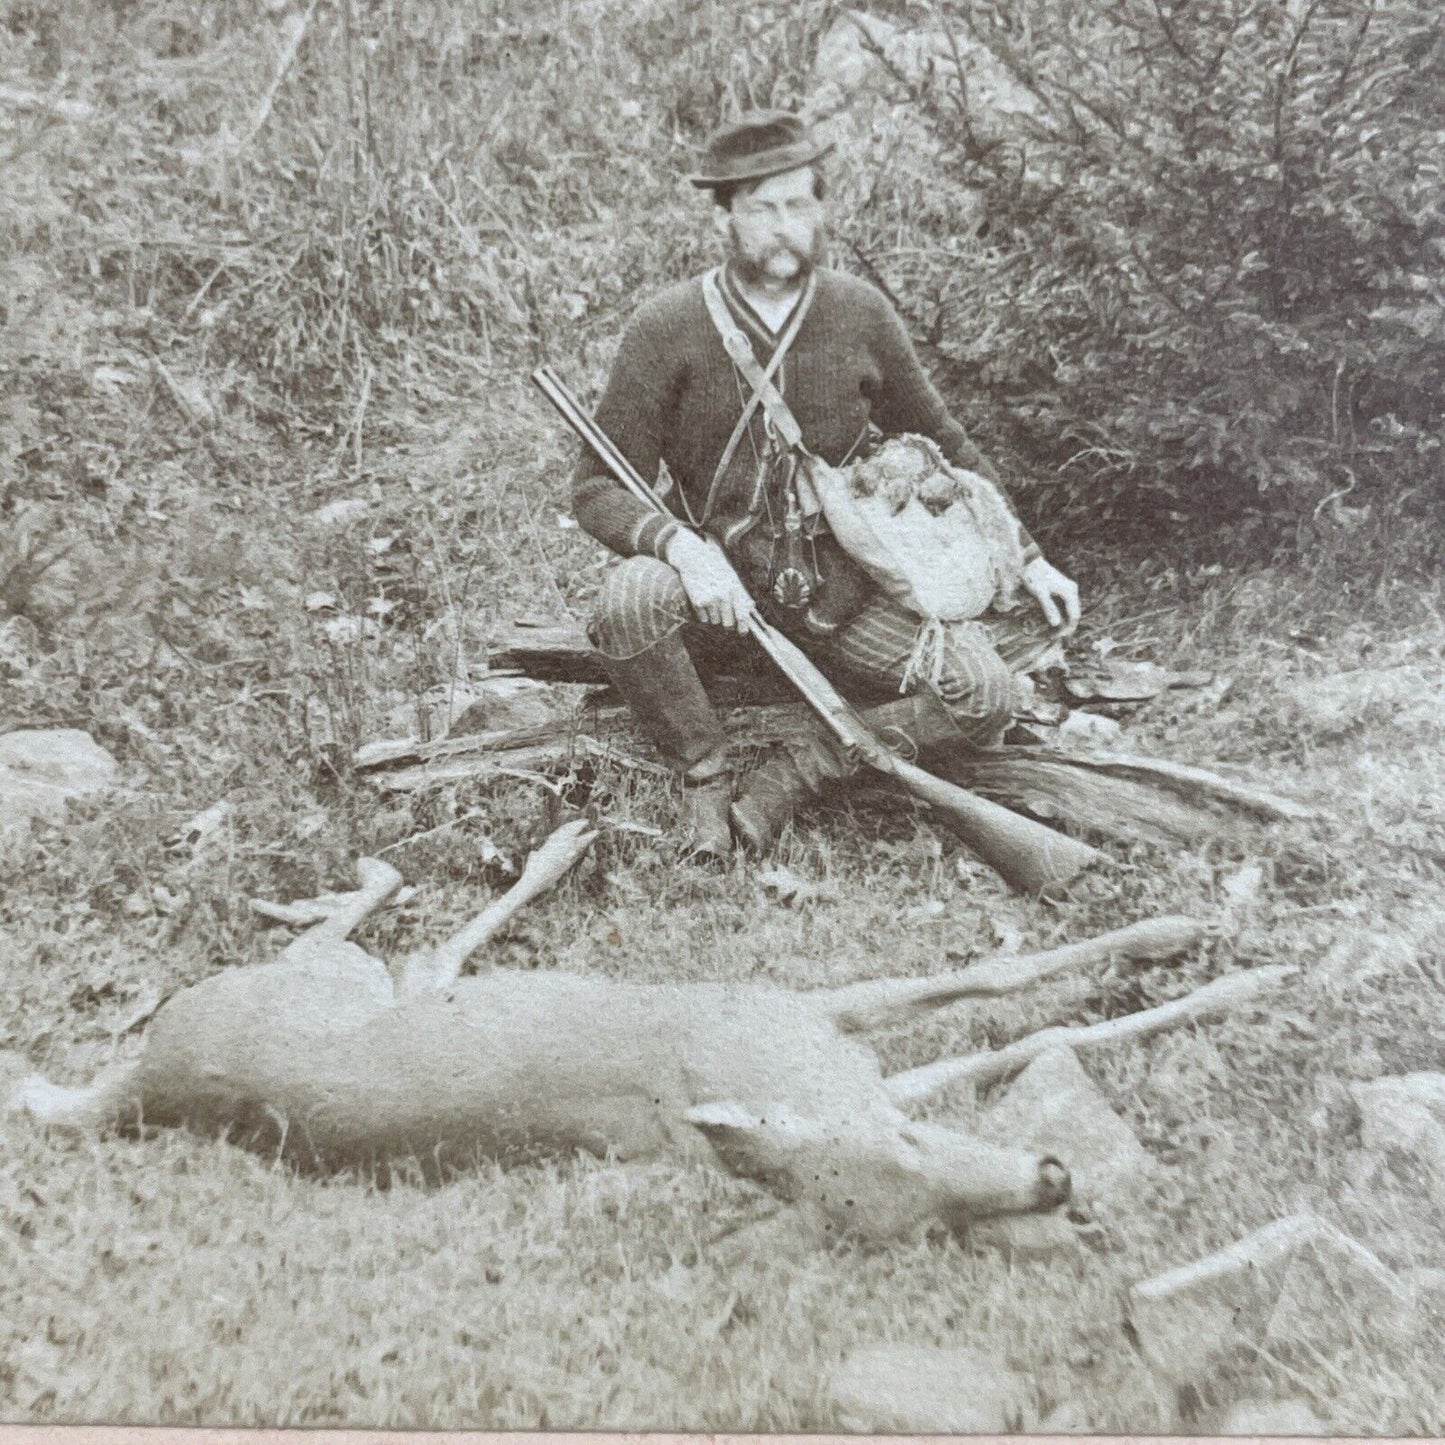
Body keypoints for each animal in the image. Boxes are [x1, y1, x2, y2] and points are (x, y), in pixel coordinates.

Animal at [8, 820, 1211, 1244]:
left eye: (934, 1223)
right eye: (908, 1200)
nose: (1052, 1180)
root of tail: (149, 1074)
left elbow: (988, 1024)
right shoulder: (792, 1013)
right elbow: (986, 977)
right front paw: (1180, 936)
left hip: (362, 993)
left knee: (425, 947)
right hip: (324, 983)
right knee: (393, 937)